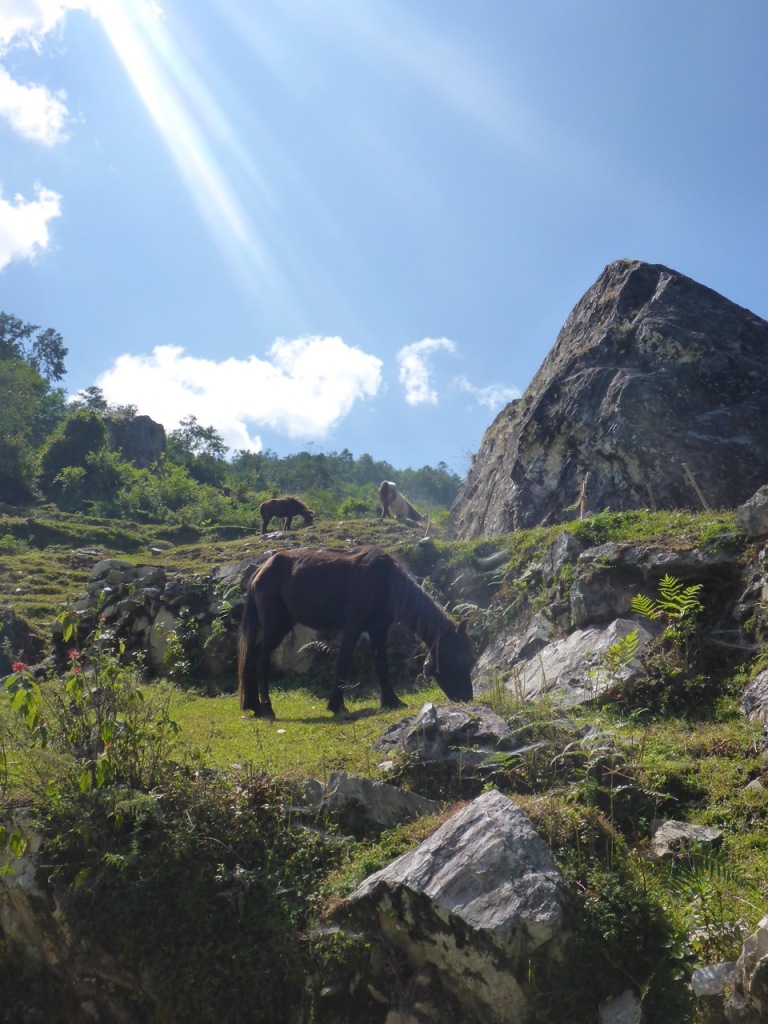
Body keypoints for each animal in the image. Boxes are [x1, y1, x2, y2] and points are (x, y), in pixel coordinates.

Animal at [237, 544, 473, 720]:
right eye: (461, 657)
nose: (467, 698)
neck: (386, 581)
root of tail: (259, 571)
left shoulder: (378, 630)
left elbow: (382, 665)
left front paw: (392, 701)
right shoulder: (354, 626)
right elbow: (344, 661)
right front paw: (337, 705)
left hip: (282, 624)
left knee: (252, 656)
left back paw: (254, 706)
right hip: (275, 624)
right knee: (261, 658)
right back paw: (267, 708)